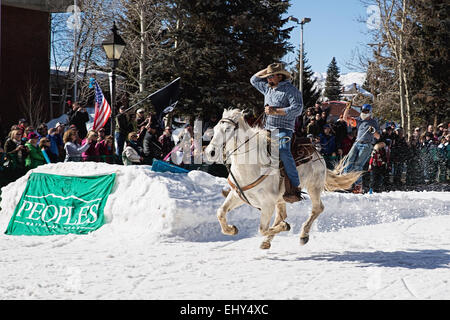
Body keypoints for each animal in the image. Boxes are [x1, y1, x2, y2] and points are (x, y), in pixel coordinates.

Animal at [206, 110, 360, 250]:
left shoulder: (267, 204)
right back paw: (267, 241)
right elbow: (220, 212)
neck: (252, 166)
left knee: (317, 208)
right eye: (215, 129)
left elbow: (262, 228)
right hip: (281, 199)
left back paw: (303, 235)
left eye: (227, 129)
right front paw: (231, 229)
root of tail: (319, 154)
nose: (210, 152)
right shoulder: (237, 195)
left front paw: (285, 227)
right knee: (281, 215)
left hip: (313, 187)